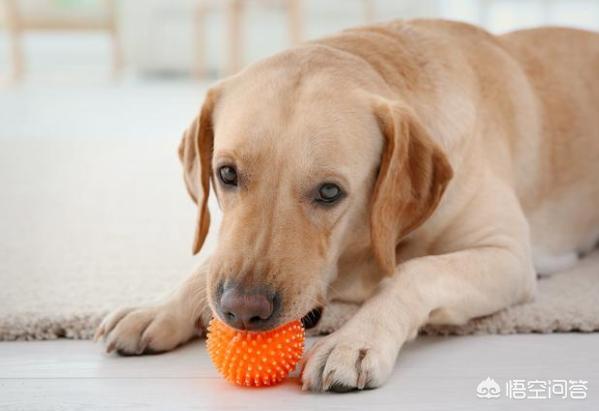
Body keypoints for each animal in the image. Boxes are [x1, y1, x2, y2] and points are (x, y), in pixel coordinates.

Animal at [96, 20, 599, 392]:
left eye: (329, 192)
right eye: (226, 174)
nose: (243, 310)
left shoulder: (508, 257)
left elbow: (415, 272)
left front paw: (354, 340)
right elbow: (206, 268)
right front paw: (156, 309)